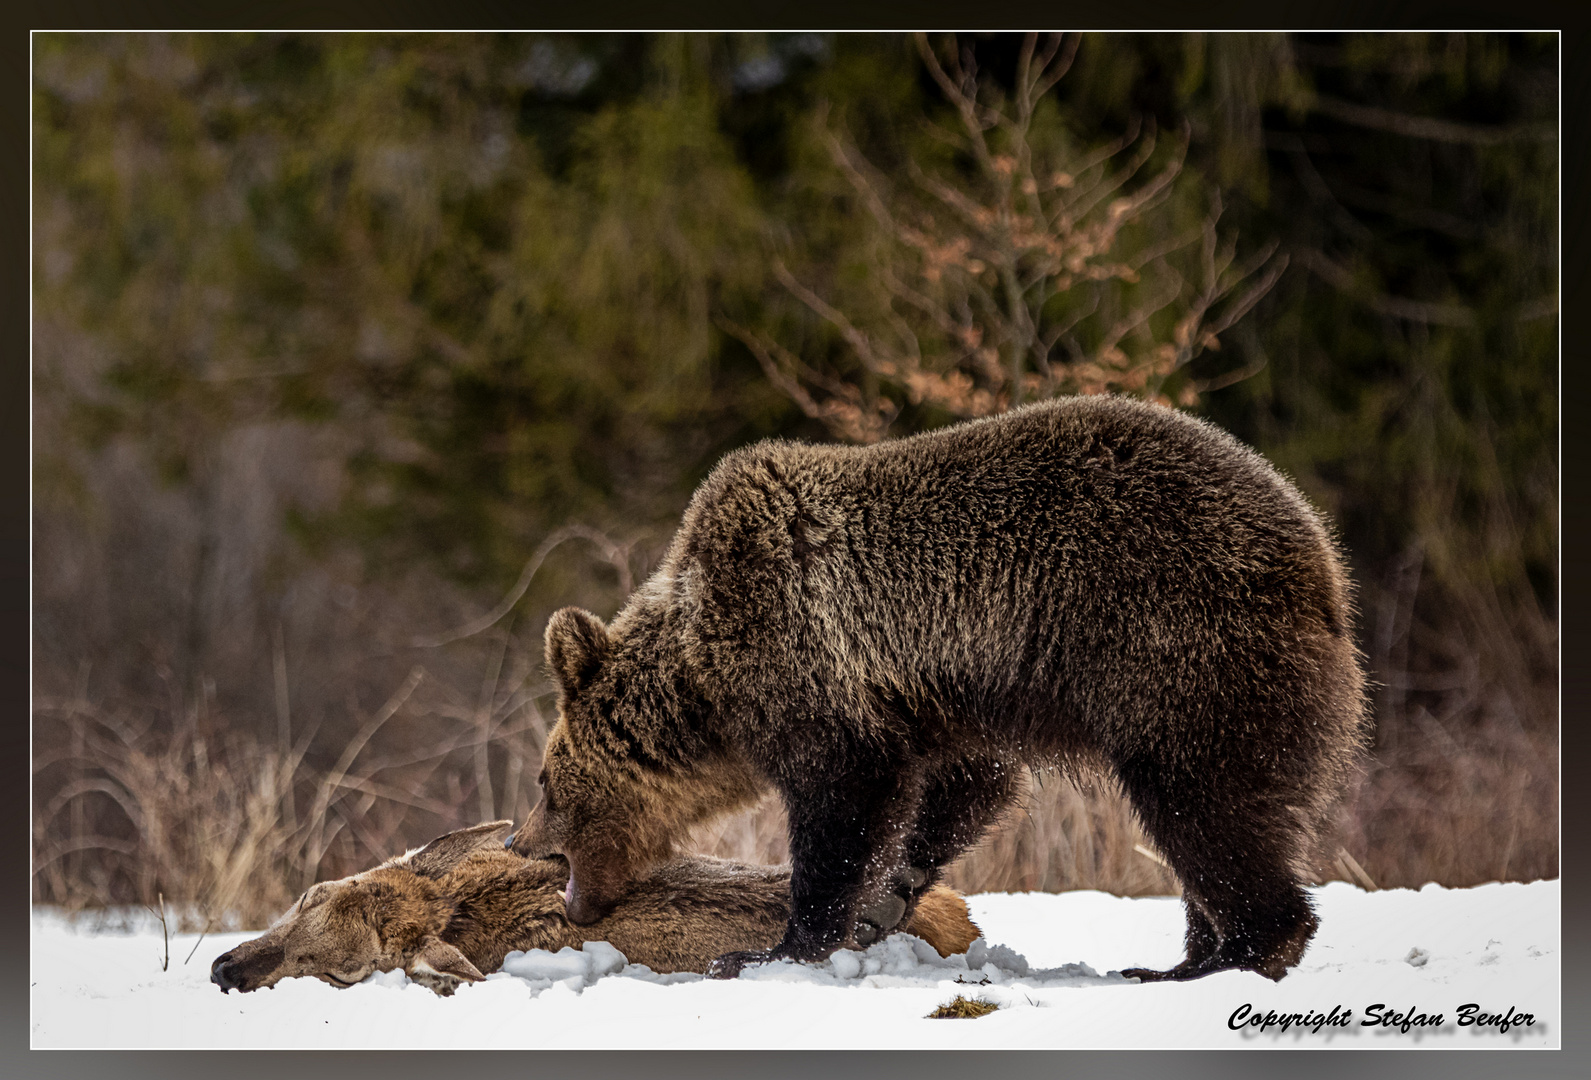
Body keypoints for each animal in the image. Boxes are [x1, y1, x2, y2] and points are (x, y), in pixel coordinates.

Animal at [512, 399, 1368, 986]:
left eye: (546, 781)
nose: (519, 841)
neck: (703, 676)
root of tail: (1321, 561)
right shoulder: (945, 694)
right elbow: (966, 788)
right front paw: (887, 898)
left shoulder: (805, 654)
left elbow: (842, 800)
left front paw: (776, 946)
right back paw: (1187, 957)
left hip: (1177, 653)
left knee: (1204, 807)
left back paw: (1234, 956)